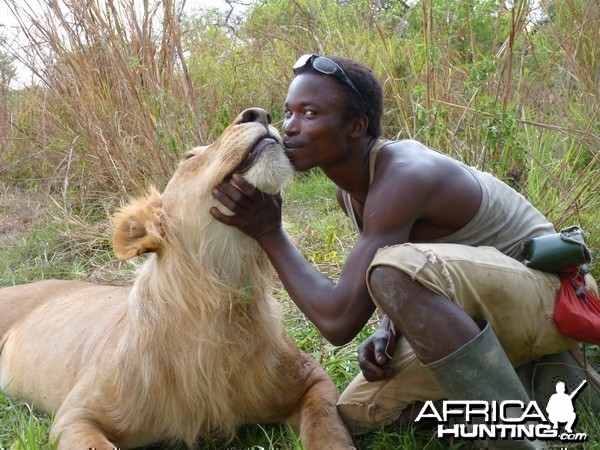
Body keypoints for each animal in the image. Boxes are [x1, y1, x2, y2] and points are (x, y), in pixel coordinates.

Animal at [0, 109, 356, 450]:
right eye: (189, 157)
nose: (260, 114)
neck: (218, 291)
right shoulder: (76, 415)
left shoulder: (311, 379)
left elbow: (327, 428)